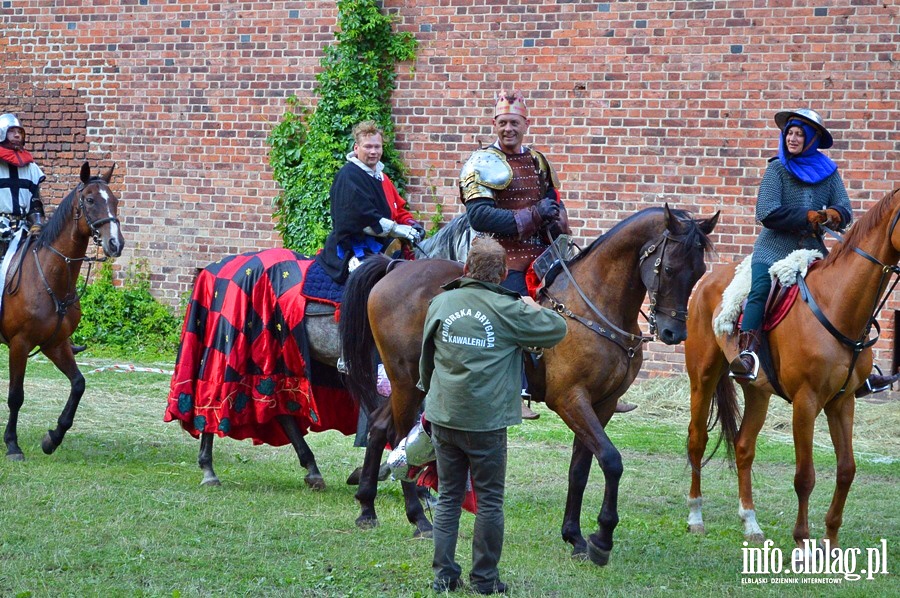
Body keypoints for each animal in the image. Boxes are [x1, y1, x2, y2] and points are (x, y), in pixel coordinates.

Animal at [1, 162, 123, 462]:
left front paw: (53, 438)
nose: (115, 243)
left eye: (114, 201)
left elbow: (78, 384)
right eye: (89, 200)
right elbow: (16, 395)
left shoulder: (54, 344)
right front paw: (12, 444)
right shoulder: (19, 344)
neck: (46, 276)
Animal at [342, 207, 720, 568]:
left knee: (379, 425)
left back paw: (366, 507)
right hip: (408, 380)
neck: (593, 304)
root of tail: (395, 268)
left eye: (700, 271)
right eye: (669, 267)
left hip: (410, 383)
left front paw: (575, 537)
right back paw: (417, 517)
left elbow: (580, 469)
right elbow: (611, 461)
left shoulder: (603, 405)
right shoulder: (570, 400)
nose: (674, 332)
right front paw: (602, 539)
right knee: (398, 432)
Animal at [684, 188, 900, 552]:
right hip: (702, 377)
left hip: (757, 390)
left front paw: (831, 541)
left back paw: (751, 523)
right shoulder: (806, 402)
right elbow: (805, 476)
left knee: (744, 447)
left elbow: (846, 470)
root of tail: (706, 281)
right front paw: (801, 543)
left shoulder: (842, 402)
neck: (836, 303)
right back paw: (695, 516)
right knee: (697, 440)